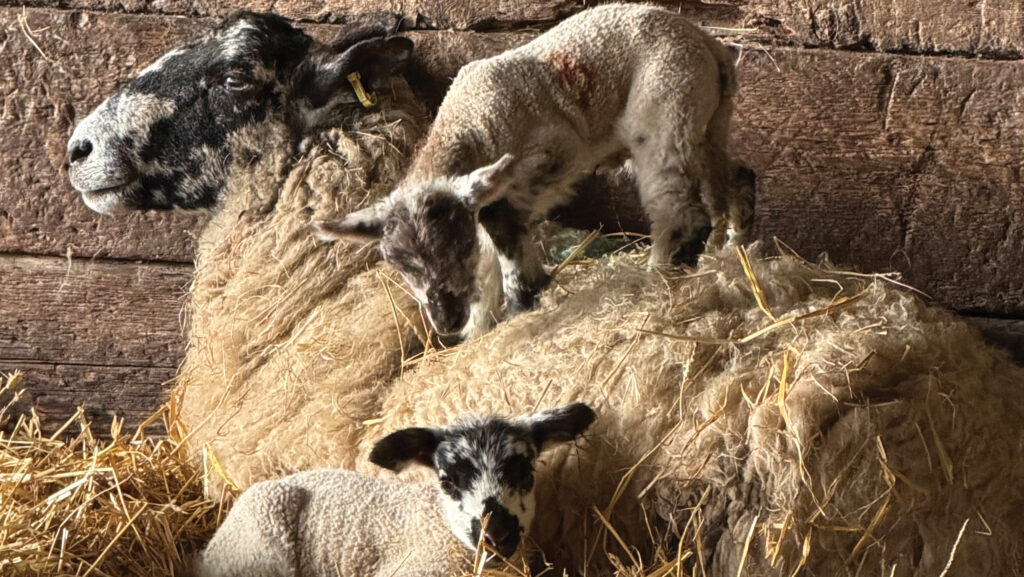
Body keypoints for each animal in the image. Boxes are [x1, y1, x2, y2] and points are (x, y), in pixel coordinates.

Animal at [314, 3, 756, 340]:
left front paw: (523, 297)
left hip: (664, 107)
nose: (446, 322)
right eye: (400, 265)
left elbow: (503, 227)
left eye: (458, 246)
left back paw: (657, 275)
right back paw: (734, 244)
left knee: (678, 211)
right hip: (707, 119)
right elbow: (489, 263)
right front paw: (480, 329)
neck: (465, 128)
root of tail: (709, 44)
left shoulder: (552, 154)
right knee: (735, 177)